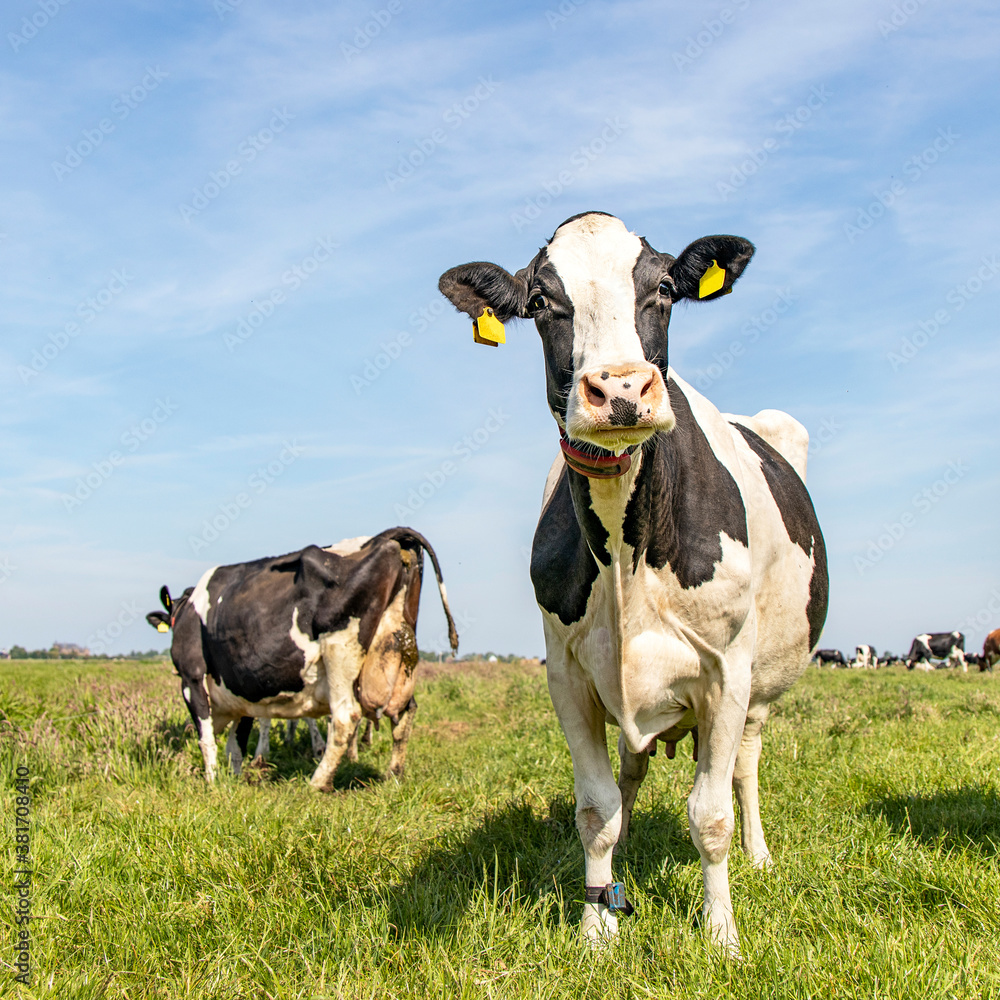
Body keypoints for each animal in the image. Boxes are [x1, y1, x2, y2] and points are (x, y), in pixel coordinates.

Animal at [145, 528, 458, 792]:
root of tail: (382, 537)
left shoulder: (192, 677)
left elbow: (207, 738)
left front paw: (212, 783)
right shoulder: (242, 687)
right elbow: (236, 743)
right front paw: (234, 780)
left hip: (340, 651)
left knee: (346, 717)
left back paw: (318, 782)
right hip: (399, 655)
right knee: (405, 714)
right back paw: (394, 774)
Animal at [440, 211, 828, 952]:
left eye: (666, 289)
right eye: (541, 301)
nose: (620, 390)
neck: (626, 549)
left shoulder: (727, 670)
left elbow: (710, 816)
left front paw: (722, 935)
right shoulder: (567, 674)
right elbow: (598, 810)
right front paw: (597, 927)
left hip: (762, 683)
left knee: (744, 766)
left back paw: (760, 857)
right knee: (632, 774)